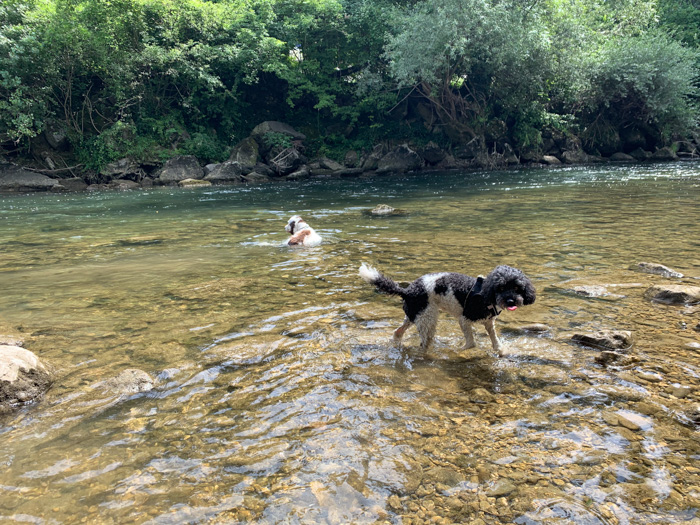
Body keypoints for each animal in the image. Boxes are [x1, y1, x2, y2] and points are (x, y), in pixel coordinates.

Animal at [359, 263, 535, 355]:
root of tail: (408, 290)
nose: (511, 301)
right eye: (501, 288)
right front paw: (458, 350)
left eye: (517, 288)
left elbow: (495, 342)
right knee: (423, 343)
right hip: (427, 319)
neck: (486, 294)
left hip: (415, 315)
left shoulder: (488, 322)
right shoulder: (464, 319)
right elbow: (470, 343)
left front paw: (501, 350)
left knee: (397, 332)